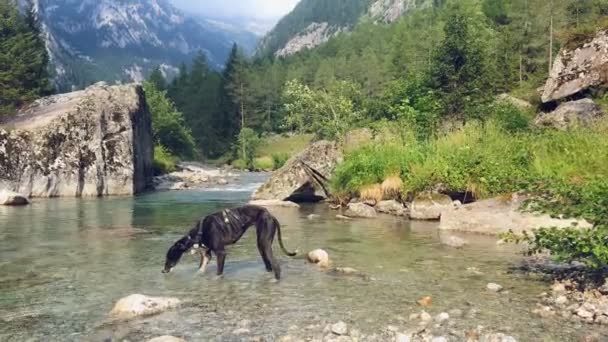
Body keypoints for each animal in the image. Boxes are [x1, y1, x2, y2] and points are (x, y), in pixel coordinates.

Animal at [162, 204, 294, 280]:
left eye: (169, 257)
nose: (163, 271)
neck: (200, 232)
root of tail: (271, 215)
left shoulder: (221, 253)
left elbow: (218, 274)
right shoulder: (206, 255)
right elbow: (200, 270)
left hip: (265, 244)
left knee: (276, 266)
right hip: (261, 246)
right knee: (269, 265)